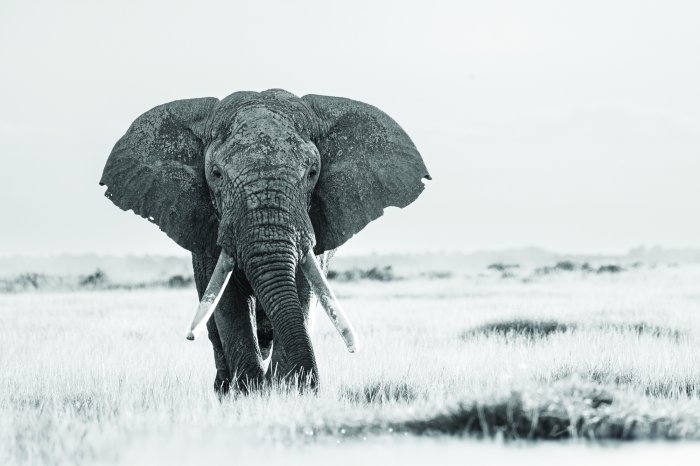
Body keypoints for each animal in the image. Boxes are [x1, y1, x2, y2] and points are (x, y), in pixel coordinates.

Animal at [100, 89, 430, 395]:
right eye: (216, 174)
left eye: (312, 173)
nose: (313, 385)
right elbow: (228, 302)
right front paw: (251, 392)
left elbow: (302, 290)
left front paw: (287, 389)